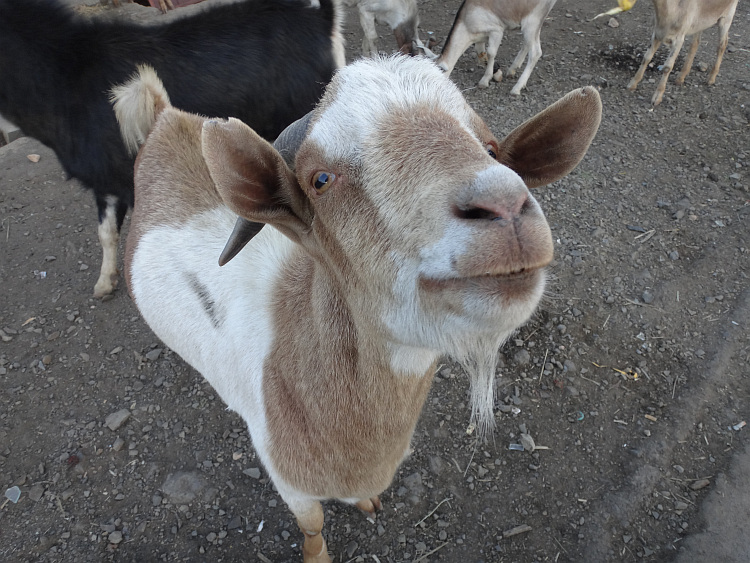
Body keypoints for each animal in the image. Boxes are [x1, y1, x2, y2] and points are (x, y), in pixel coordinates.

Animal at [112, 56, 601, 562]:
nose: (503, 205)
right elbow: (312, 523)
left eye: (491, 147)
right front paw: (317, 554)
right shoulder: (287, 479)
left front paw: (366, 503)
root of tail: (165, 118)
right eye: (320, 180)